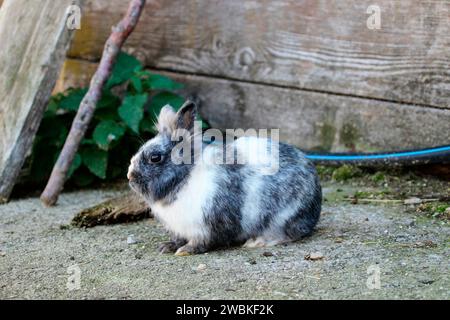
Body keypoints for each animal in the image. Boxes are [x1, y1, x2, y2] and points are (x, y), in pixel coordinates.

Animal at [127, 101, 320, 256]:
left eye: (155, 158)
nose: (130, 176)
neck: (185, 177)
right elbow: (178, 238)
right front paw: (167, 247)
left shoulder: (205, 226)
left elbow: (202, 242)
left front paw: (185, 251)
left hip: (284, 217)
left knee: (290, 234)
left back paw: (257, 241)